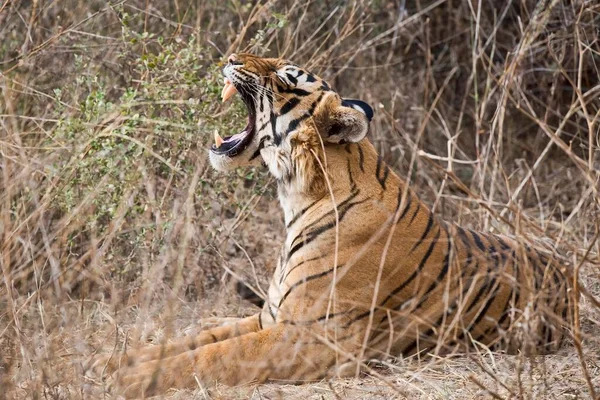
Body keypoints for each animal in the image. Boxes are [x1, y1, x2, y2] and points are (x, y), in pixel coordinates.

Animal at [91, 53, 568, 396]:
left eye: (285, 77)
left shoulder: (312, 338)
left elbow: (213, 356)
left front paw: (130, 381)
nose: (229, 56)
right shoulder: (269, 317)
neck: (298, 195)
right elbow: (194, 340)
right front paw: (109, 362)